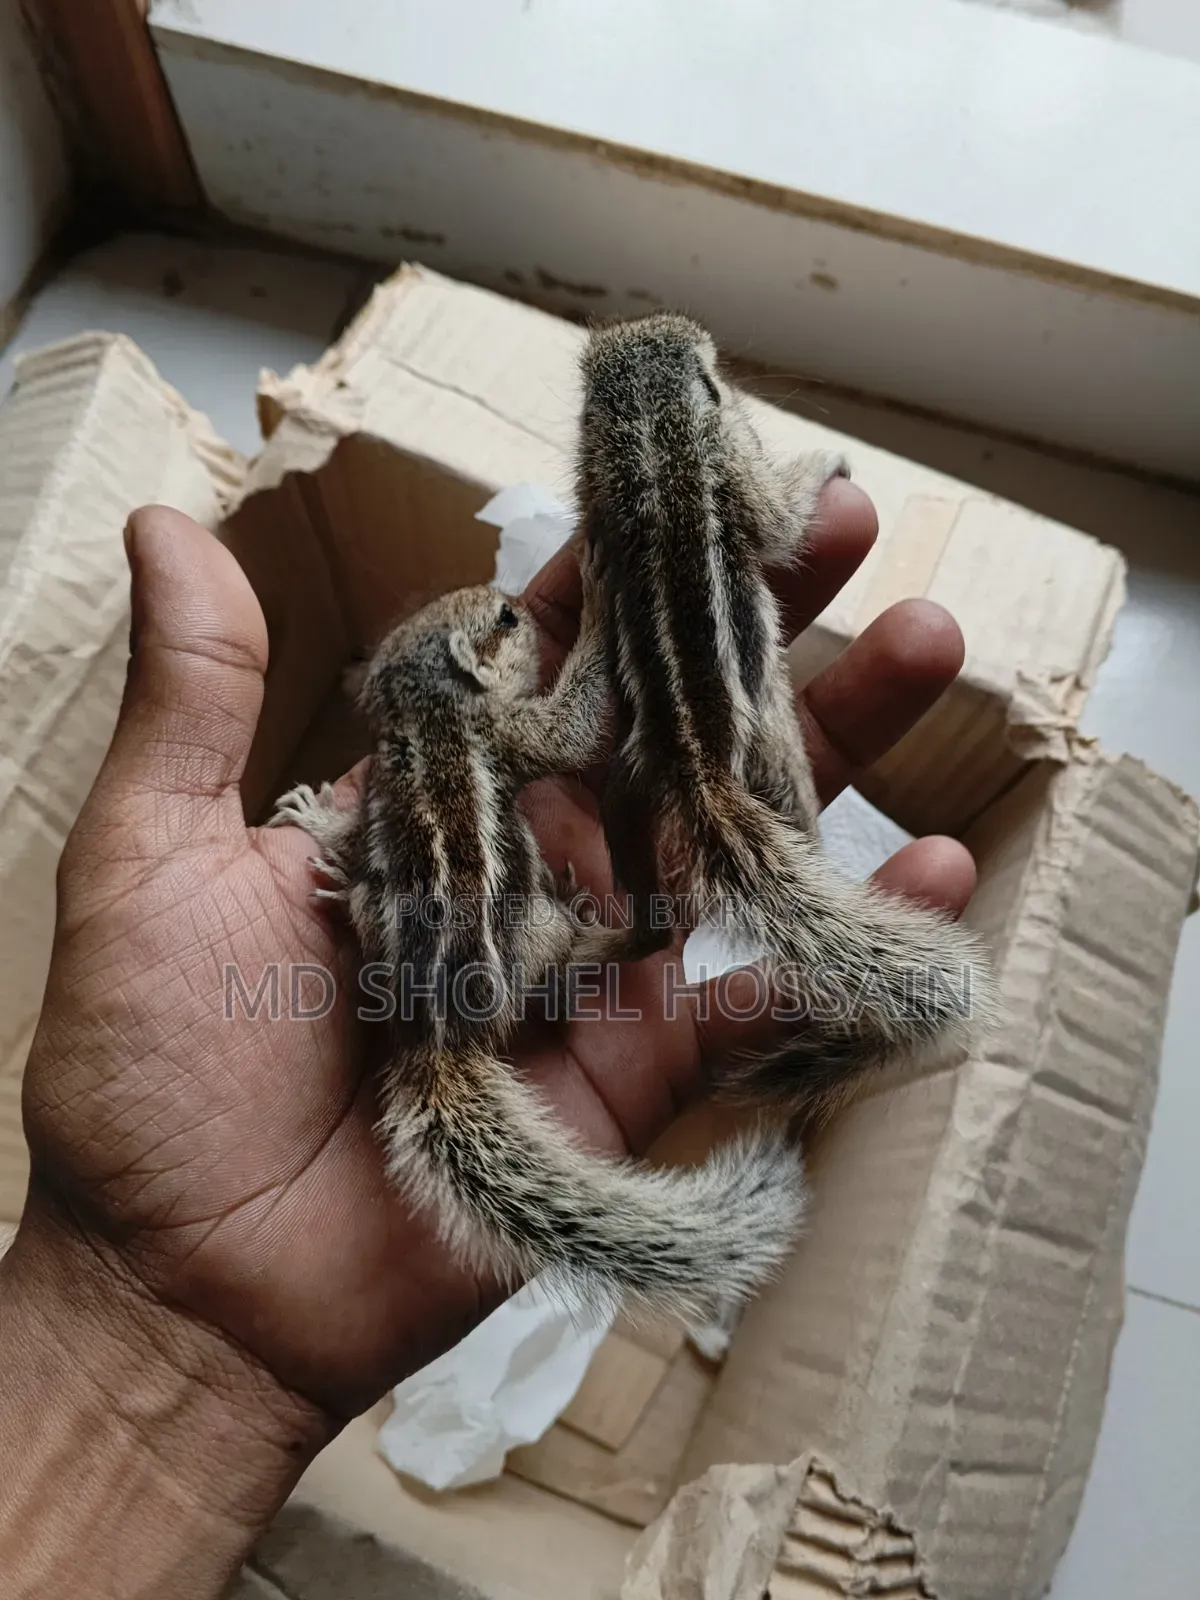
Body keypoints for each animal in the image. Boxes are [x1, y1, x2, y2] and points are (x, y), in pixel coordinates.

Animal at [269, 584, 806, 1323]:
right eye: (504, 620)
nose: (510, 597)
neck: (422, 711)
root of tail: (438, 1039)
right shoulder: (517, 735)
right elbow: (570, 727)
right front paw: (598, 608)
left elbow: (354, 826)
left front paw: (316, 817)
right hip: (537, 935)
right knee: (581, 955)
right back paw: (597, 928)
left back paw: (334, 883)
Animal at [577, 312, 995, 1119]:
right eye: (710, 370)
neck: (648, 430)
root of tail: (701, 772)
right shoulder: (742, 478)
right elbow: (781, 520)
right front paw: (833, 460)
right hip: (777, 746)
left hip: (624, 788)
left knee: (649, 915)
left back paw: (620, 940)